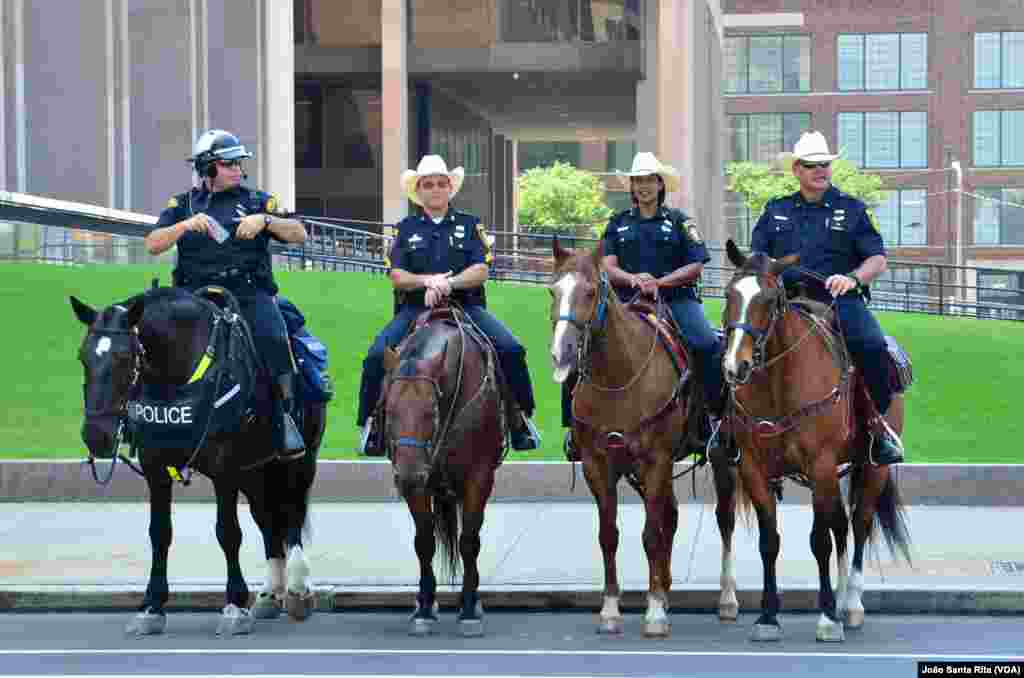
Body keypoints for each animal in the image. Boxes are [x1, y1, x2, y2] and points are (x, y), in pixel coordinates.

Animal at [71, 286, 323, 639]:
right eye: (83, 357)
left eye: (124, 358)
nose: (96, 435)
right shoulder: (155, 466)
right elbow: (159, 533)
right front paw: (151, 606)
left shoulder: (225, 468)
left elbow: (228, 532)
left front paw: (234, 605)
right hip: (255, 472)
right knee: (268, 521)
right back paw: (270, 593)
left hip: (298, 463)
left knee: (293, 515)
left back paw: (299, 589)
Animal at [378, 305, 505, 639]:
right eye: (388, 410)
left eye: (430, 411)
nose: (409, 475)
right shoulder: (417, 484)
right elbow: (424, 541)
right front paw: (424, 605)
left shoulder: (479, 478)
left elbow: (469, 541)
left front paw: (469, 607)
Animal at [712, 241, 913, 647]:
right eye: (728, 295)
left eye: (769, 299)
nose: (735, 367)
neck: (778, 384)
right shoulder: (754, 469)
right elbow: (770, 540)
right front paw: (768, 617)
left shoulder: (819, 465)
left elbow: (819, 540)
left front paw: (827, 618)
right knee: (842, 526)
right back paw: (841, 596)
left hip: (872, 470)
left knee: (859, 524)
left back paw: (850, 604)